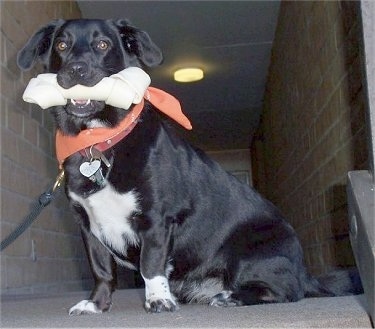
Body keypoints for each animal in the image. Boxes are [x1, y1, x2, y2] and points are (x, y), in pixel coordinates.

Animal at [16, 19, 362, 314]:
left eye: (102, 44)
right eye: (62, 45)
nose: (76, 70)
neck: (101, 140)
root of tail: (304, 272)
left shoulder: (157, 218)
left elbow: (151, 264)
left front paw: (157, 301)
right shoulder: (88, 225)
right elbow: (102, 270)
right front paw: (97, 305)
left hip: (249, 252)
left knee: (287, 292)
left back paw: (231, 297)